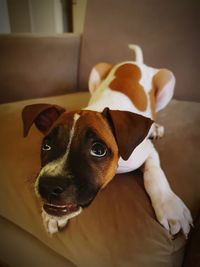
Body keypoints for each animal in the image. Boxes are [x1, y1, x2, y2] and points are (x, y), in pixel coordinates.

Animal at [21, 45, 192, 238]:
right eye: (46, 145)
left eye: (98, 150)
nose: (48, 186)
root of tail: (135, 63)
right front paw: (52, 216)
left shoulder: (148, 151)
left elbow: (154, 174)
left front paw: (171, 208)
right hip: (97, 70)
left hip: (168, 79)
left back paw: (155, 127)